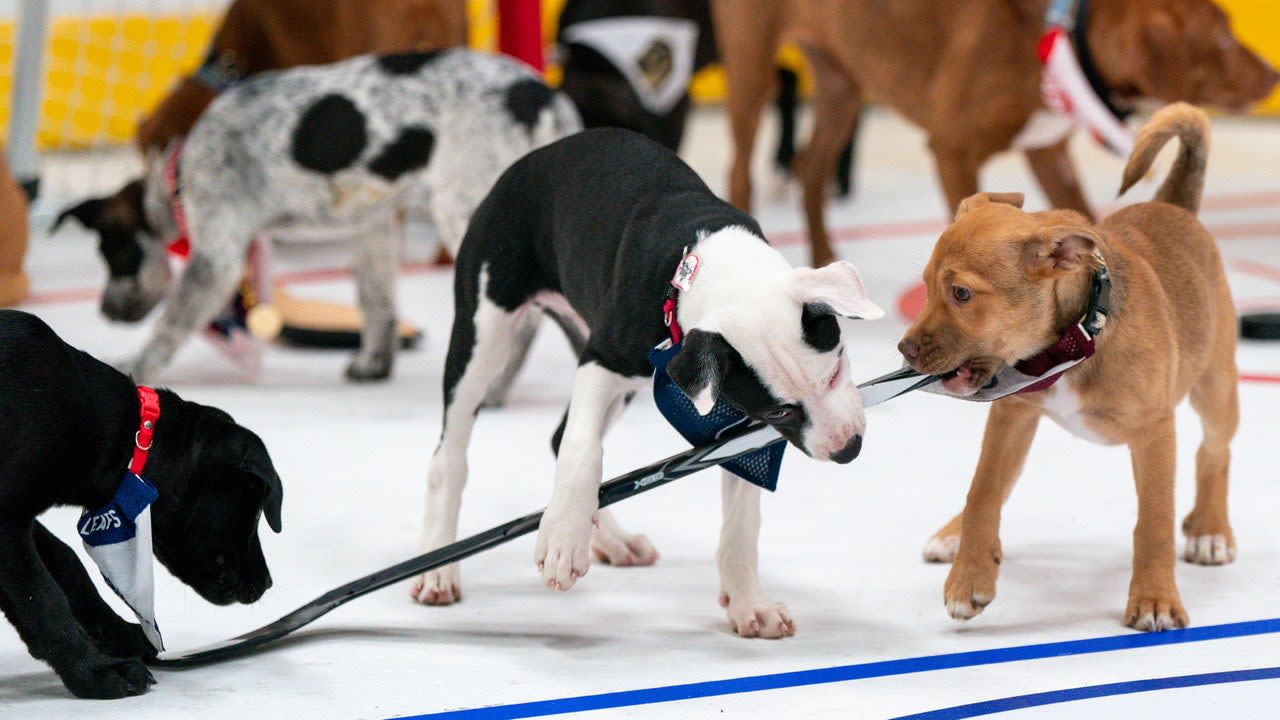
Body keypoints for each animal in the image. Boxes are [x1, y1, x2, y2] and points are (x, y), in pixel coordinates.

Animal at [0, 308, 282, 696]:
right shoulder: (5, 525)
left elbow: (66, 561)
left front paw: (118, 635)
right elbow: (43, 599)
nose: (267, 583)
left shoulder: (22, 517)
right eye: (255, 516)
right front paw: (95, 672)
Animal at [56, 47, 581, 384]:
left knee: (525, 322)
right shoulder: (372, 228)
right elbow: (377, 303)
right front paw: (375, 363)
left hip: (470, 213)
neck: (177, 175)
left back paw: (494, 388)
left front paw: (133, 367)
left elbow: (169, 325)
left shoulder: (215, 258)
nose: (105, 311)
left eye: (113, 254)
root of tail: (541, 96)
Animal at [414, 127, 885, 632]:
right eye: (780, 410)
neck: (706, 270)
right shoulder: (602, 360)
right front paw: (561, 540)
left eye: (837, 369)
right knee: (451, 456)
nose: (848, 448)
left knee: (557, 437)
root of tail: (537, 156)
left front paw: (748, 602)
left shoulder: (734, 419)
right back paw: (440, 567)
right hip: (485, 332)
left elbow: (742, 519)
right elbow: (583, 450)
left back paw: (611, 540)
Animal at [716, 0, 1274, 266]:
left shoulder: (1050, 154)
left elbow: (1088, 220)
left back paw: (822, 256)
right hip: (751, 70)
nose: (1274, 74)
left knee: (810, 167)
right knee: (740, 169)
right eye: (1224, 37)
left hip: (843, 87)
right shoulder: (953, 150)